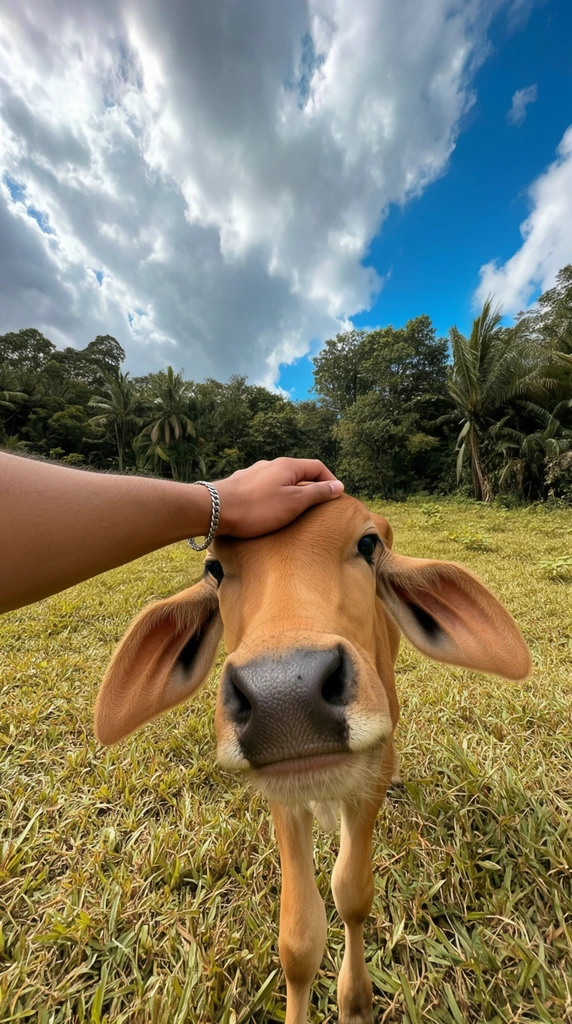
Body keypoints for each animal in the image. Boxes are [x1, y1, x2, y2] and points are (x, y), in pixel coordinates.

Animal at [94, 495, 531, 1024]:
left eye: (368, 543)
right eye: (215, 568)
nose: (286, 698)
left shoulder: (369, 776)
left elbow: (353, 895)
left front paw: (355, 1001)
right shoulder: (283, 799)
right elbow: (299, 940)